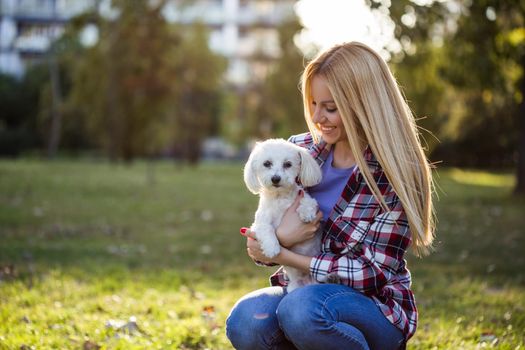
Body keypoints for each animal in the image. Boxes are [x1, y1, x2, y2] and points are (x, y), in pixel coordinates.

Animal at [243, 138, 322, 292]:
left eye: (288, 164)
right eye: (267, 163)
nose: (275, 178)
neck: (280, 198)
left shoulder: (306, 198)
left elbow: (308, 201)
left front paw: (306, 213)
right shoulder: (258, 224)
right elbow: (267, 229)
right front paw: (272, 248)